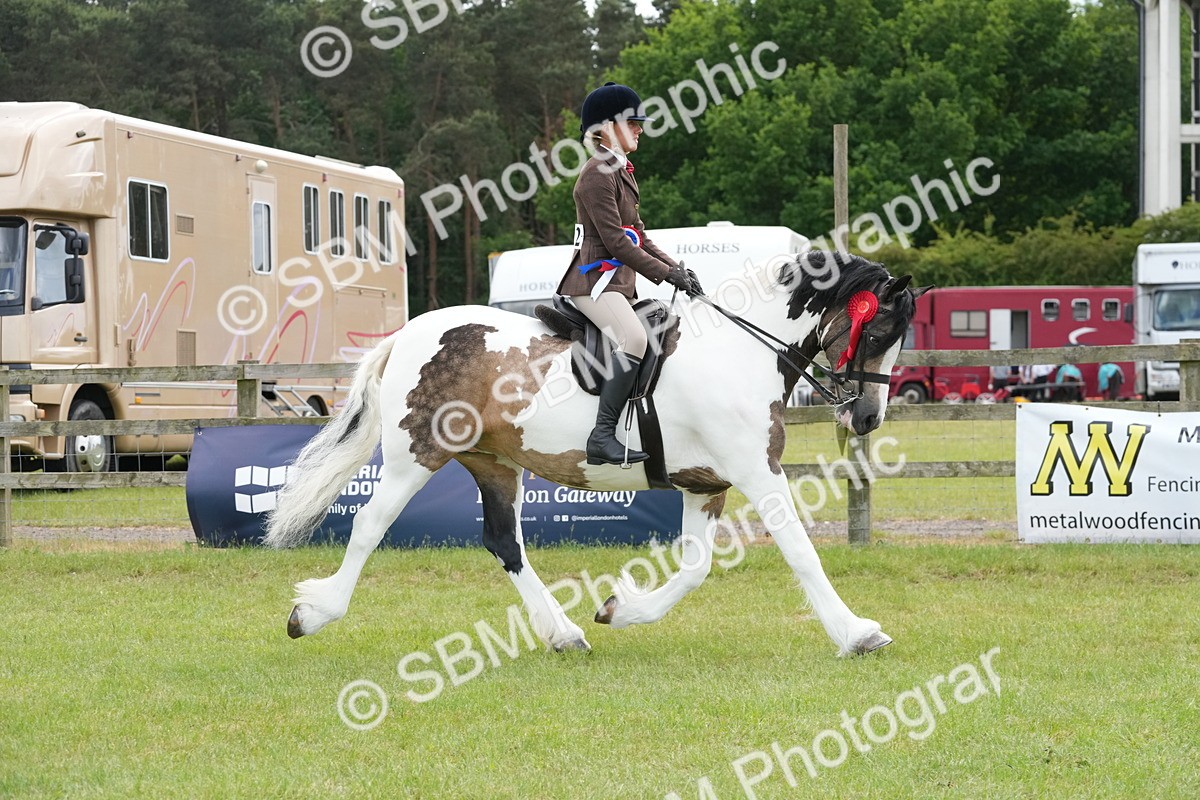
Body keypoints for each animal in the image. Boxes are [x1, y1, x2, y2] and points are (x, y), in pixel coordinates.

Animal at [264, 251, 929, 657]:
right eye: (876, 332)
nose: (867, 417)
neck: (739, 350)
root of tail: (408, 333)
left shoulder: (705, 484)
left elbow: (694, 569)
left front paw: (621, 610)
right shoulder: (756, 473)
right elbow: (801, 553)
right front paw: (857, 633)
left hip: (493, 462)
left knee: (504, 541)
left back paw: (563, 633)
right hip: (415, 455)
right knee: (370, 525)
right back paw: (313, 613)